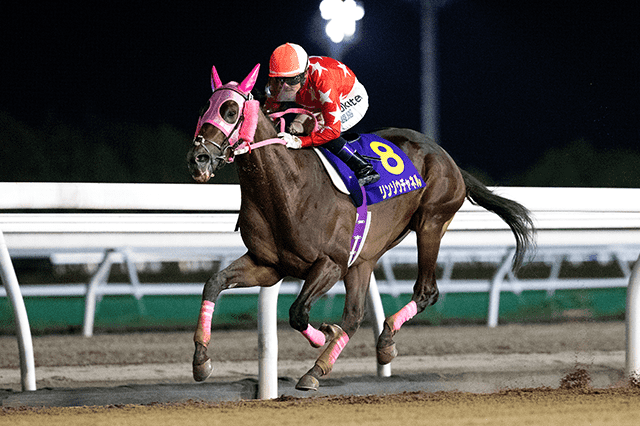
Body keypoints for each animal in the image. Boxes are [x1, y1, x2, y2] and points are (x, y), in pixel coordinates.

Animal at [186, 63, 536, 390]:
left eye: (230, 111)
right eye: (203, 108)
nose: (198, 158)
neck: (288, 188)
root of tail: (448, 159)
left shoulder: (331, 263)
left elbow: (298, 312)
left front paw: (322, 334)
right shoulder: (268, 265)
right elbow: (213, 284)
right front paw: (201, 361)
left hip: (430, 223)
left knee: (425, 292)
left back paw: (379, 343)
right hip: (365, 258)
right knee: (355, 315)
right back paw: (329, 363)